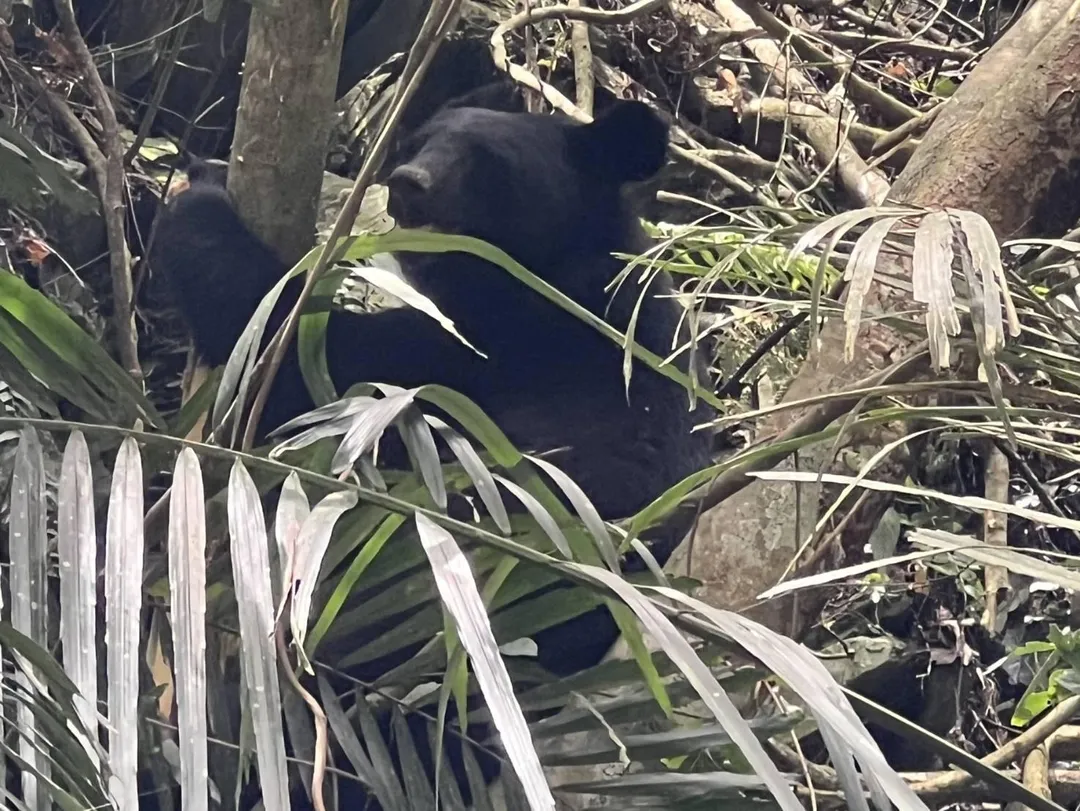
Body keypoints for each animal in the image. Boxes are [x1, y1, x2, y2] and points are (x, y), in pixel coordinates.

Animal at [150, 82, 715, 807]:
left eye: (487, 163)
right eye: (418, 140)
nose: (406, 183)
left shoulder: (483, 355)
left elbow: (291, 344)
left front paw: (200, 185)